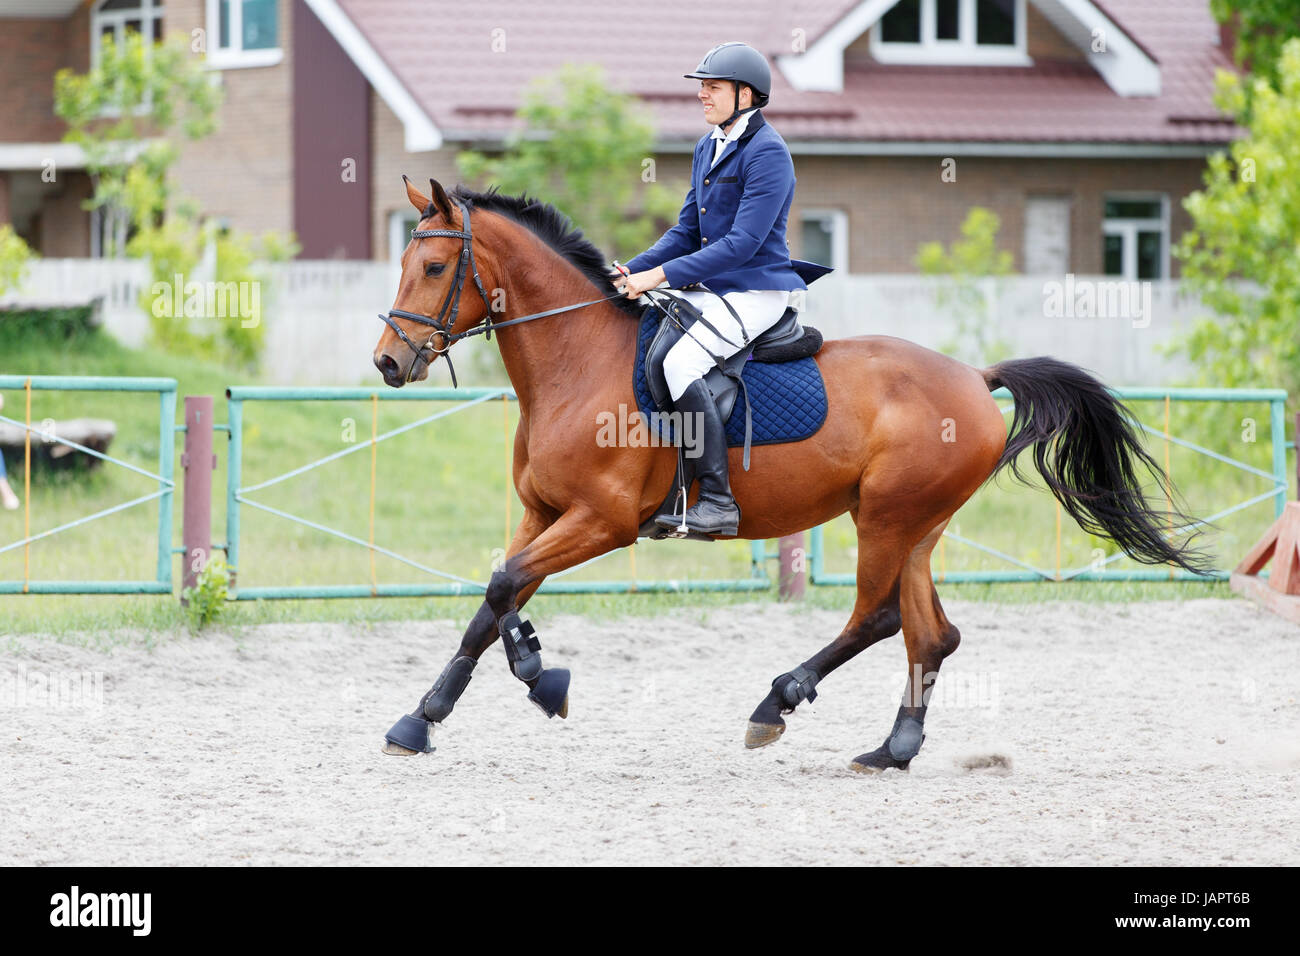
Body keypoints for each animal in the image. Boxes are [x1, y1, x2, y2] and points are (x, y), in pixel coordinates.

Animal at [371, 177, 1207, 772]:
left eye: (436, 266)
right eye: (405, 263)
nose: (387, 363)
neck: (575, 359)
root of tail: (975, 377)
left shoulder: (601, 522)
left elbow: (504, 586)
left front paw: (543, 678)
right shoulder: (544, 515)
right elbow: (494, 599)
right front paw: (421, 718)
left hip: (888, 518)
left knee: (877, 618)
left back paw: (777, 703)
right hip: (913, 524)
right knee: (930, 633)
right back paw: (892, 750)